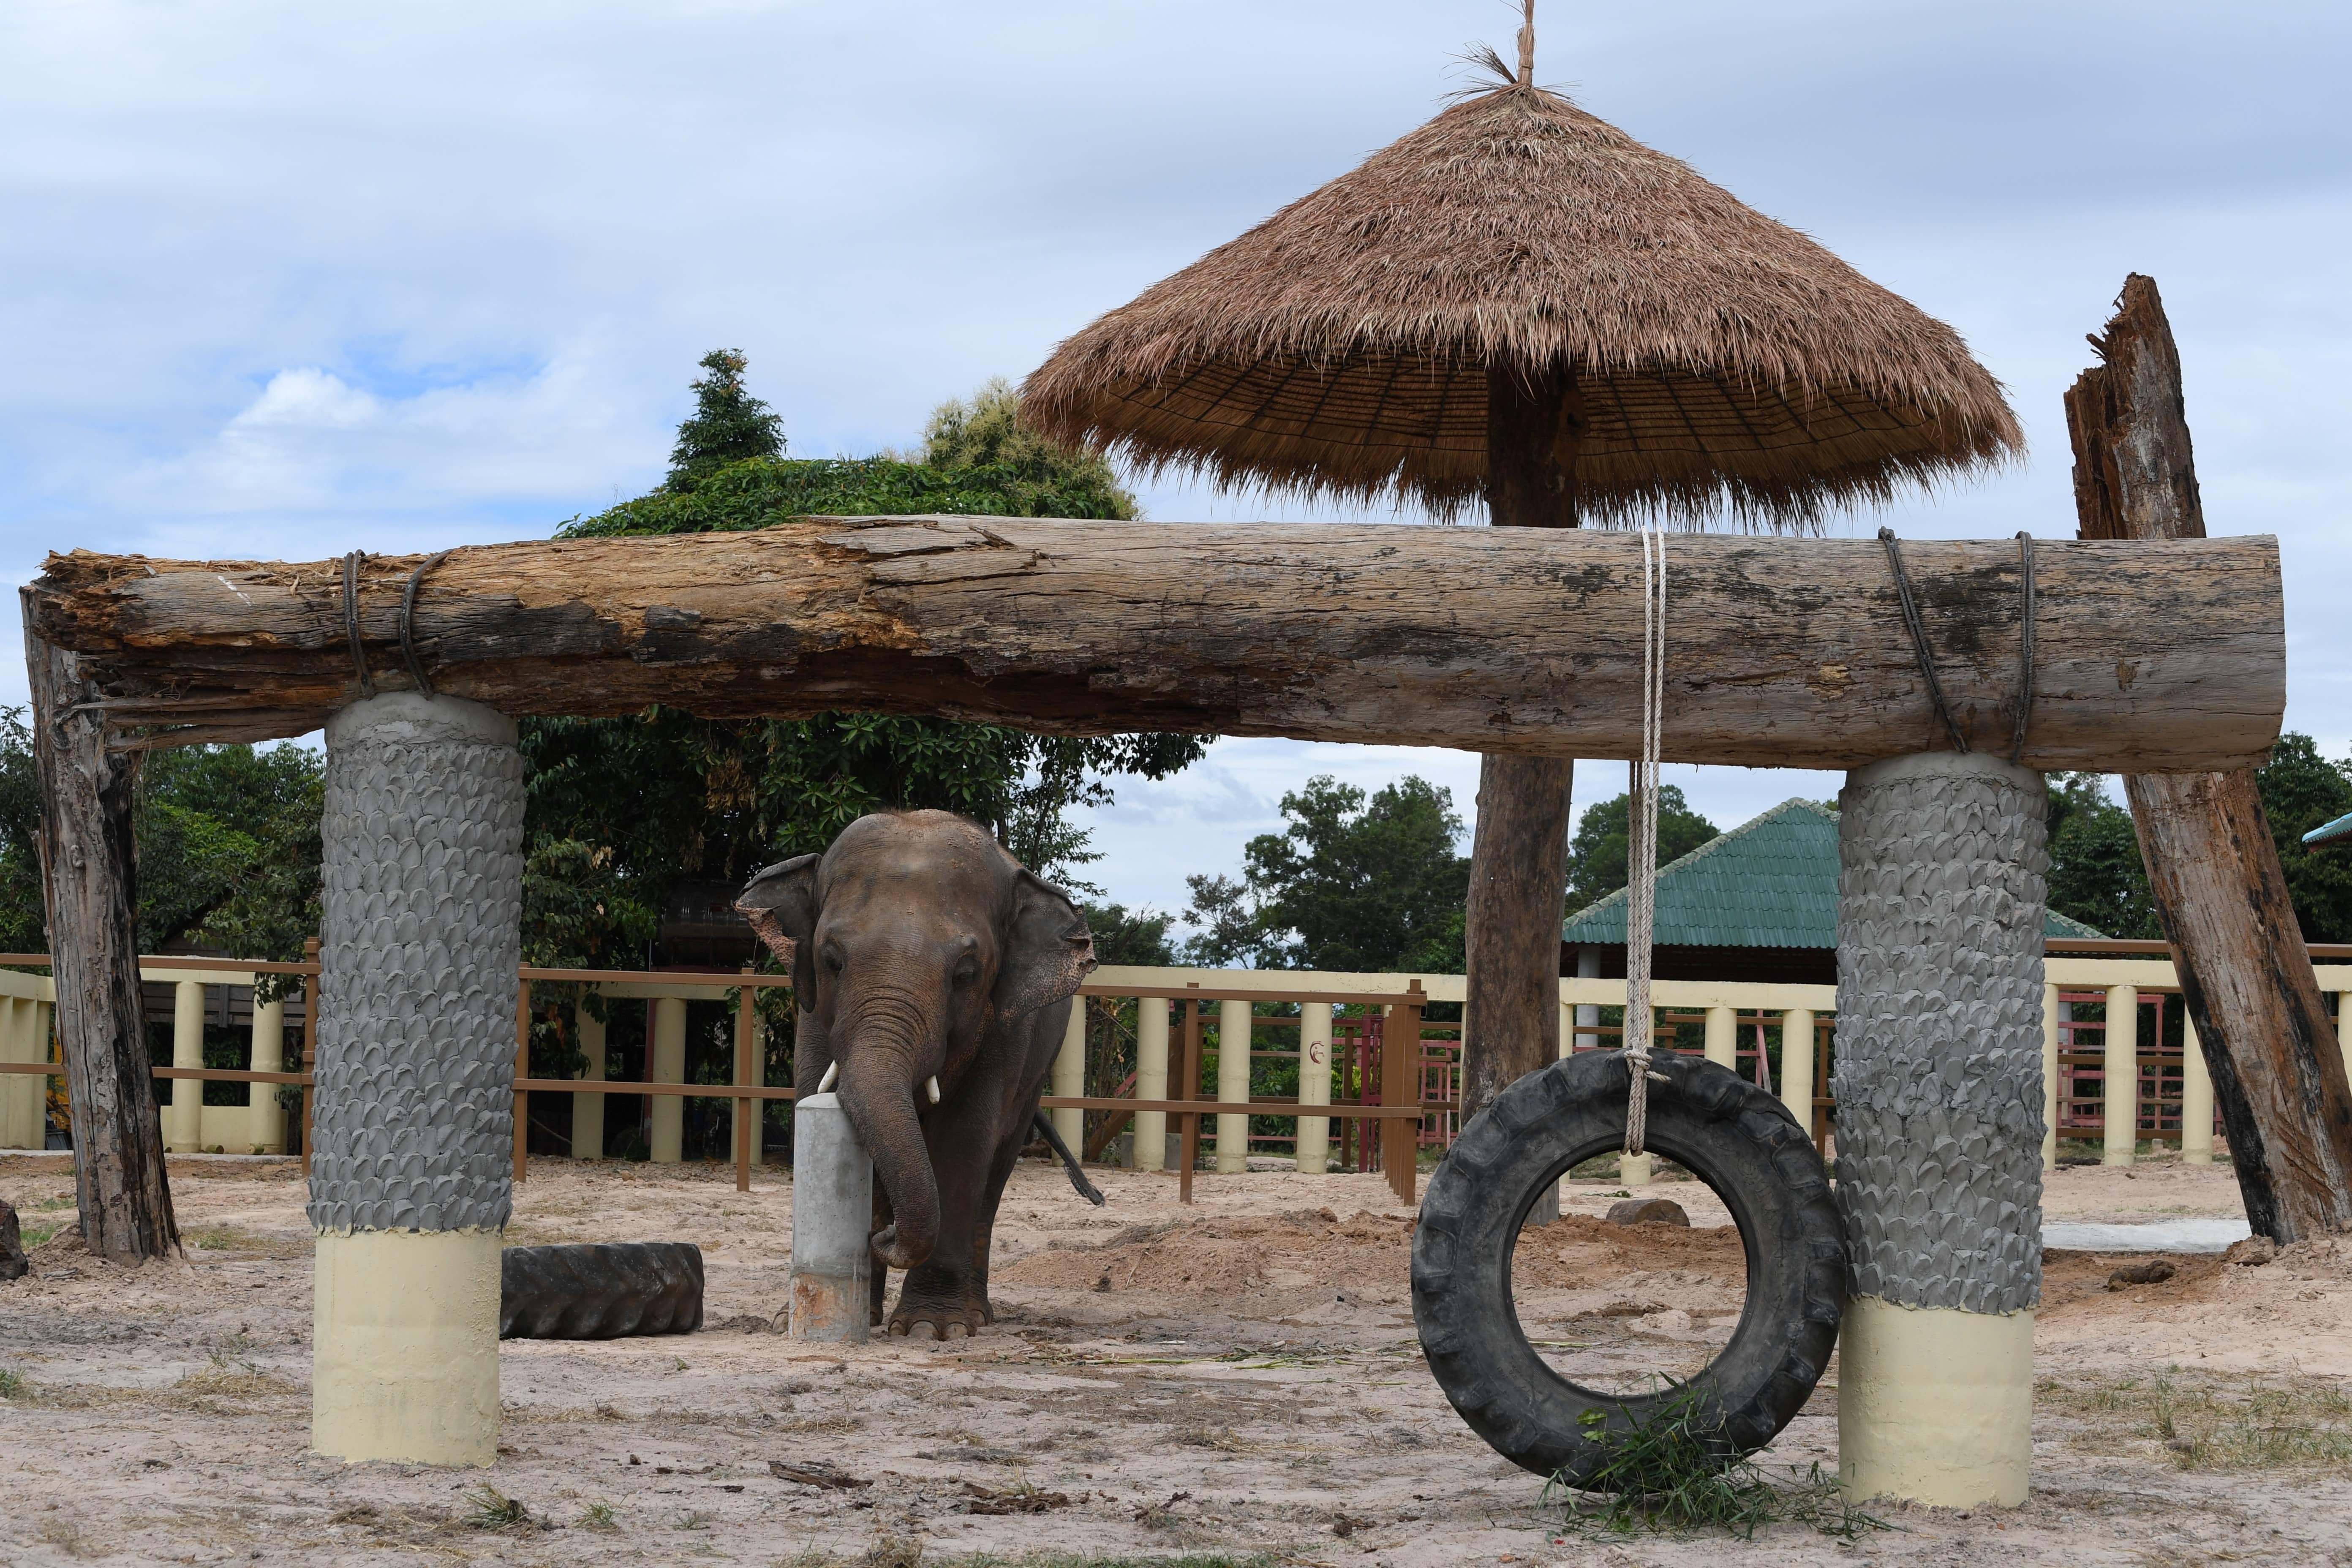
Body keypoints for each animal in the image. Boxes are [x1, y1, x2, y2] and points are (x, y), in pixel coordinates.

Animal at [735, 810, 1102, 1338]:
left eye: (966, 974)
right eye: (831, 960)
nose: (884, 1234)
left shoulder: (1006, 1028)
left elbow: (964, 1136)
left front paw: (931, 1328)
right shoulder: (812, 1013)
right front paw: (804, 1318)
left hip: (1038, 1070)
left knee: (995, 1172)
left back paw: (977, 1315)